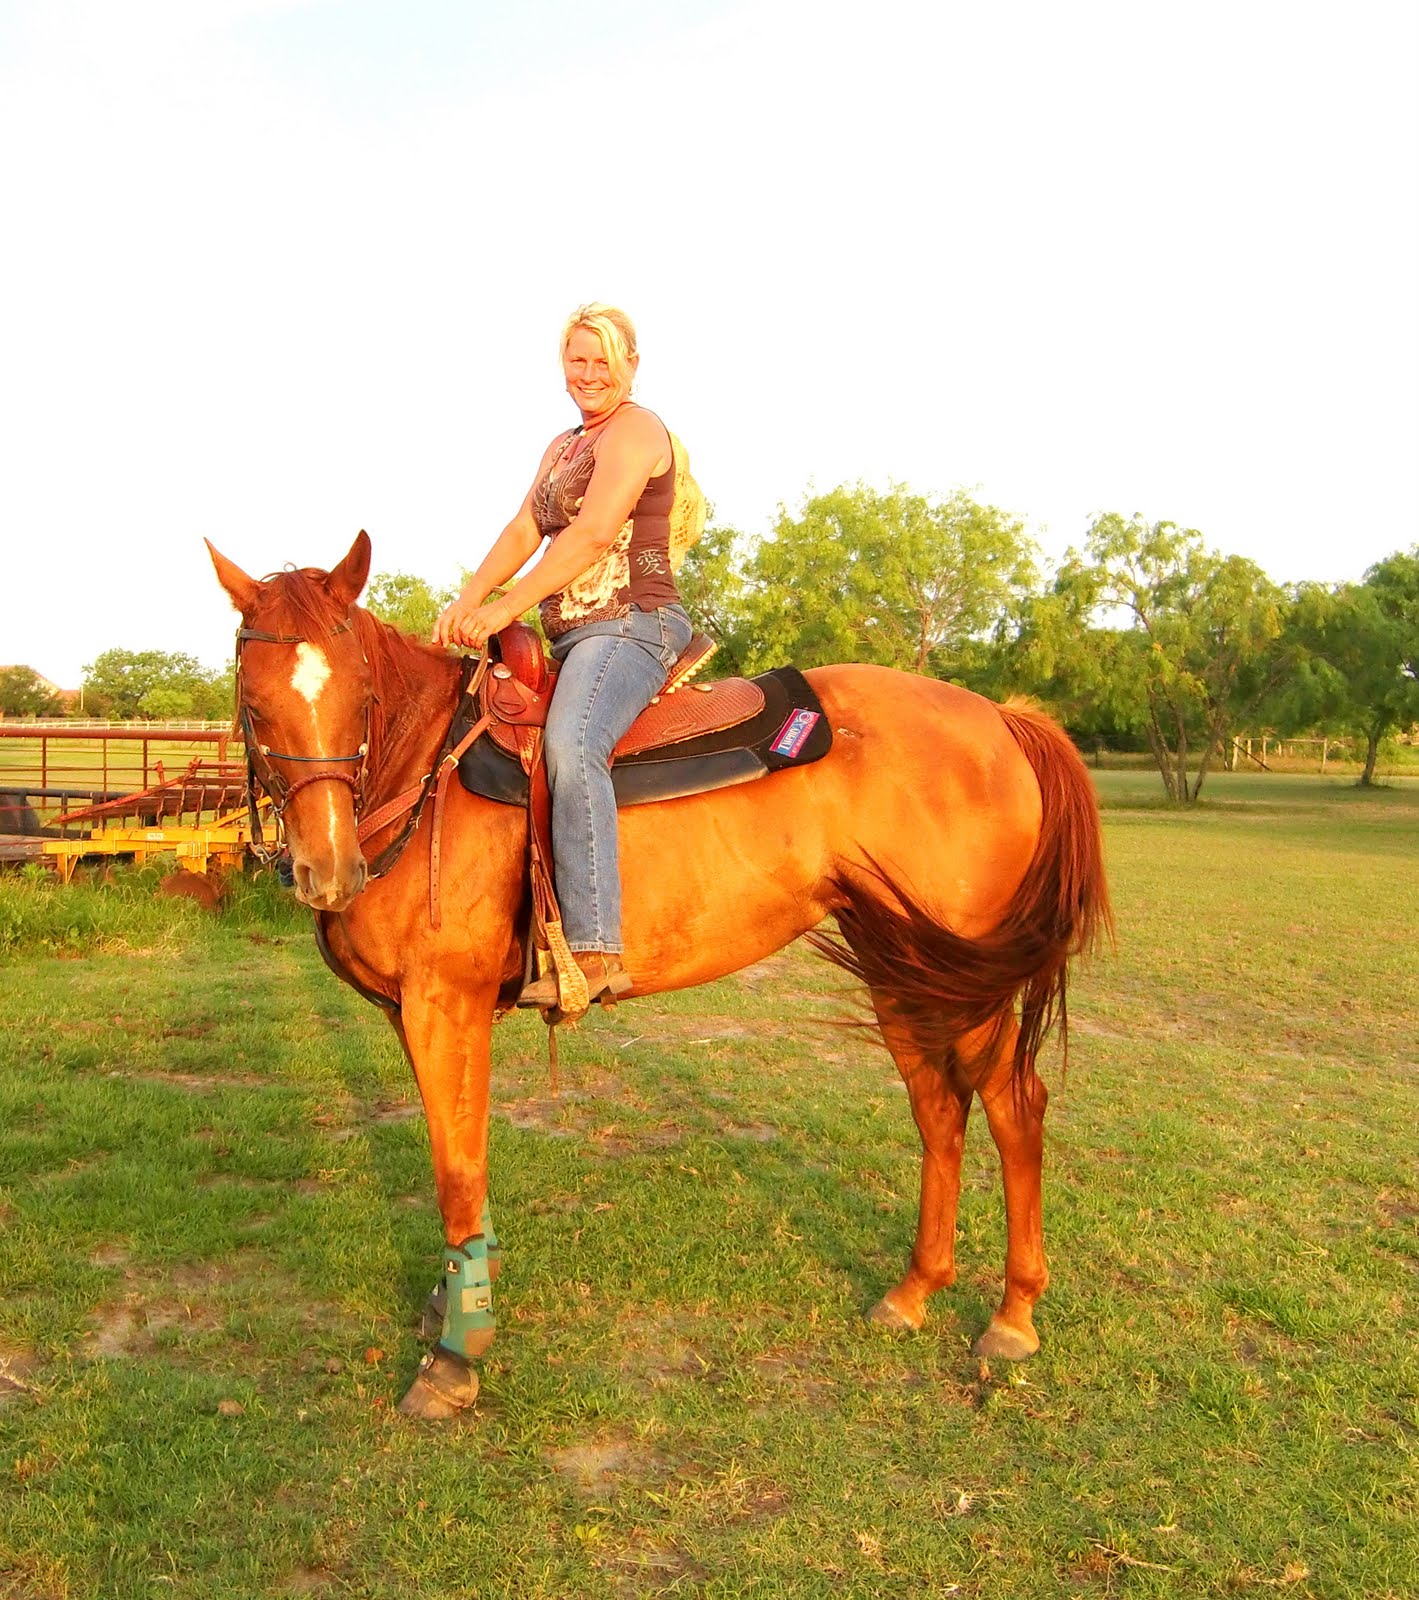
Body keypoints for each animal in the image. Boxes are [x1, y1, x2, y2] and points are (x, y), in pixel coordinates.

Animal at [209, 531, 1110, 1419]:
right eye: (252, 703)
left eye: (361, 692)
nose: (328, 871)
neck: (423, 773)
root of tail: (1002, 719)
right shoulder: (411, 1011)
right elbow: (462, 1153)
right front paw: (453, 1305)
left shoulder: (443, 1004)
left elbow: (456, 1173)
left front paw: (455, 1357)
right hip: (905, 965)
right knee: (938, 1109)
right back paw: (914, 1292)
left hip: (967, 976)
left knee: (1013, 1107)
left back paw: (1011, 1317)